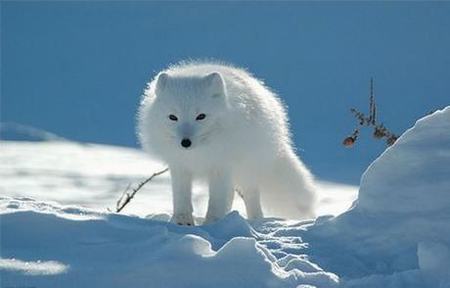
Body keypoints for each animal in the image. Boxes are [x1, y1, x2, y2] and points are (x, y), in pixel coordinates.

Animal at [137, 61, 316, 225]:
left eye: (201, 116)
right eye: (173, 117)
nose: (185, 142)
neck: (199, 153)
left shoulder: (221, 166)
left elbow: (217, 201)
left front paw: (213, 224)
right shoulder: (180, 166)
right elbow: (181, 197)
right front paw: (182, 222)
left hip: (247, 170)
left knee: (250, 195)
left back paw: (255, 220)